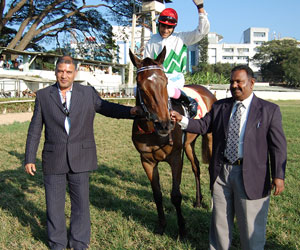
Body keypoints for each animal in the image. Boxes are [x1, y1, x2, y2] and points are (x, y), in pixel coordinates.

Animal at [129, 47, 216, 238]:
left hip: (211, 138)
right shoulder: (147, 160)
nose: (164, 124)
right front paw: (161, 226)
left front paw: (182, 229)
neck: (154, 132)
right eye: (140, 85)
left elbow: (176, 195)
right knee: (196, 167)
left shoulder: (176, 158)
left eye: (165, 81)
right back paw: (198, 201)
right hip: (189, 144)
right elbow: (157, 194)